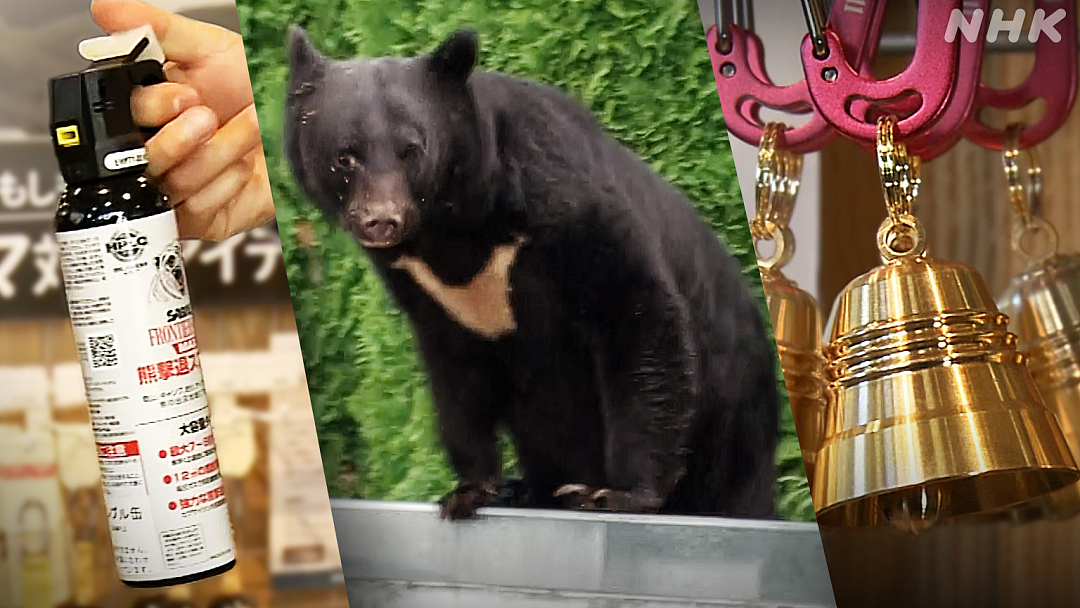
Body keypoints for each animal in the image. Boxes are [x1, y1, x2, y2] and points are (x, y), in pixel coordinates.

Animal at [284, 27, 781, 521]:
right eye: (345, 157)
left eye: (411, 150)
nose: (382, 221)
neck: (454, 231)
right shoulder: (429, 291)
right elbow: (455, 376)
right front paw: (472, 490)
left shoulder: (563, 201)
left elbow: (634, 311)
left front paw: (619, 494)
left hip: (734, 413)